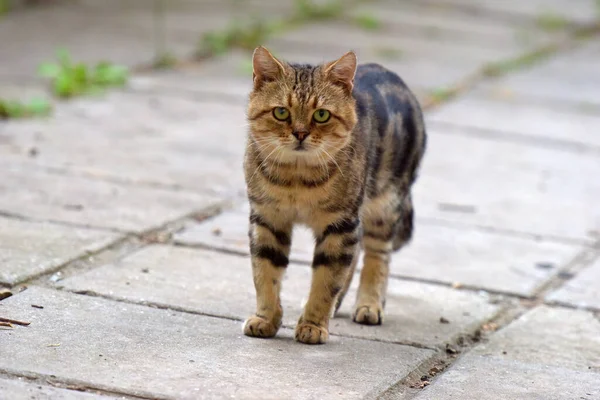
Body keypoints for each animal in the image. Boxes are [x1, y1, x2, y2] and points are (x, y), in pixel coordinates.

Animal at [243, 44, 426, 344]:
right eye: (281, 112)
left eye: (321, 115)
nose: (300, 133)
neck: (296, 178)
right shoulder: (267, 219)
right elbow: (265, 274)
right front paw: (266, 319)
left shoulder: (340, 224)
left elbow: (326, 279)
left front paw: (313, 325)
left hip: (384, 205)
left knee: (377, 255)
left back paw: (369, 304)